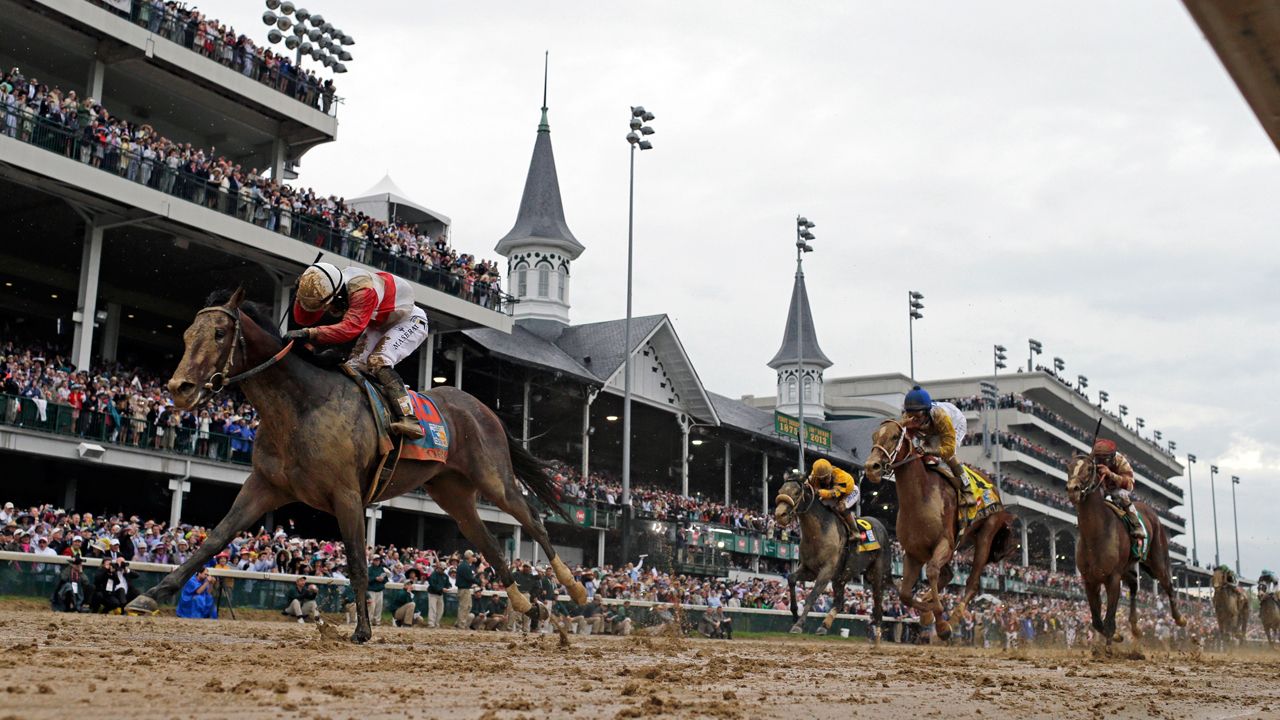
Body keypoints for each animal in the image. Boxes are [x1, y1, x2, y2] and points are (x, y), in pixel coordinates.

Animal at [120, 289, 588, 638]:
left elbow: (359, 564)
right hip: (452, 491)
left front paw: (362, 630)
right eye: (186, 333)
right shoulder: (264, 486)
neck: (302, 405)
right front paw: (149, 595)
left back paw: (575, 590)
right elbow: (213, 541)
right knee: (487, 542)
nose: (179, 388)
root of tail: (481, 407)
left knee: (533, 521)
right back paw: (530, 606)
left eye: (219, 333)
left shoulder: (346, 494)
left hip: (493, 477)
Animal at [768, 474, 890, 635]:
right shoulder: (810, 569)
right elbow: (792, 579)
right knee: (839, 603)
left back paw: (878, 632)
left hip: (877, 573)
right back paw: (823, 626)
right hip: (840, 578)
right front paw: (794, 615)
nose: (779, 515)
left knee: (878, 602)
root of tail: (882, 527)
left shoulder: (826, 570)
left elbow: (811, 596)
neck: (819, 532)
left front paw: (799, 625)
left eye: (796, 492)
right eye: (781, 490)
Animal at [860, 417, 1018, 635]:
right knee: (949, 574)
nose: (871, 467)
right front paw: (928, 612)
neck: (921, 499)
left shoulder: (944, 543)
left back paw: (955, 615)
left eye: (894, 436)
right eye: (874, 436)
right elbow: (905, 594)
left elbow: (932, 571)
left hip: (986, 533)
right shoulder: (914, 552)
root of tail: (994, 487)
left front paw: (942, 623)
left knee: (972, 582)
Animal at [1064, 450, 1182, 640]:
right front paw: (1117, 636)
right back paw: (1135, 627)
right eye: (1069, 467)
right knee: (1134, 583)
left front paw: (1111, 642)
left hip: (1158, 561)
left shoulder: (1113, 578)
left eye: (1089, 468)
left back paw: (1179, 618)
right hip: (1127, 568)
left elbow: (1109, 622)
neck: (1096, 535)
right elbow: (1097, 622)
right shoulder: (1090, 580)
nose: (1072, 490)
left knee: (1168, 585)